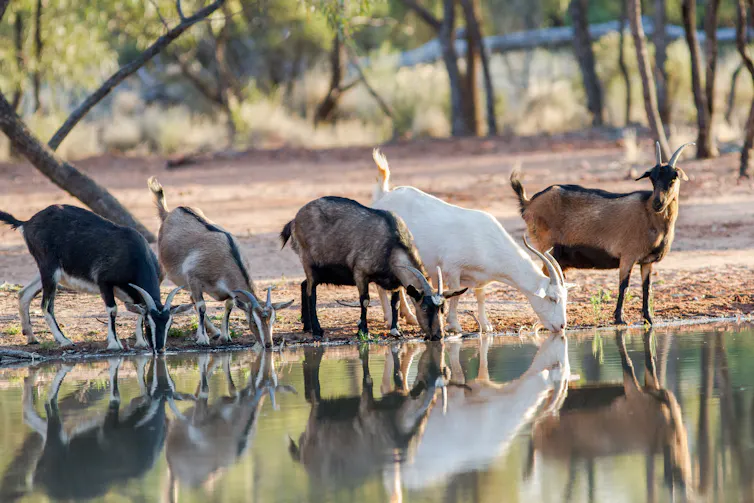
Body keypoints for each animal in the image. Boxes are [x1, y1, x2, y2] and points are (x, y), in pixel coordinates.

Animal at [0, 204, 190, 352]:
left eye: (170, 323)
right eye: (149, 323)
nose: (159, 348)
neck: (132, 253)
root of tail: (26, 223)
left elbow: (136, 308)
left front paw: (141, 342)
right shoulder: (104, 282)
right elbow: (113, 309)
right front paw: (114, 344)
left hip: (48, 273)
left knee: (24, 293)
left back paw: (31, 337)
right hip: (50, 271)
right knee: (46, 305)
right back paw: (64, 341)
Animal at [148, 178, 293, 348]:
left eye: (273, 320)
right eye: (254, 321)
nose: (268, 344)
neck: (225, 258)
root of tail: (168, 213)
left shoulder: (228, 291)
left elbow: (228, 305)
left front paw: (225, 336)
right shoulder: (194, 279)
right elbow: (202, 306)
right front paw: (203, 339)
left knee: (191, 299)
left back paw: (215, 332)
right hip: (163, 269)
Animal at [280, 196, 466, 340]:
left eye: (443, 309)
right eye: (425, 308)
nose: (438, 336)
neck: (392, 245)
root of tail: (294, 220)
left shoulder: (396, 281)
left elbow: (395, 303)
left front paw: (395, 330)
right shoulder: (360, 273)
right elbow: (365, 300)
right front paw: (363, 330)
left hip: (319, 271)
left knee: (304, 285)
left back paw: (307, 326)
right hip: (309, 262)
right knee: (311, 292)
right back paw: (317, 330)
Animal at [371, 150, 570, 334]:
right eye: (552, 298)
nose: (561, 326)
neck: (486, 241)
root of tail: (383, 196)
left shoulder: (481, 277)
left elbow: (481, 297)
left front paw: (485, 325)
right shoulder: (452, 268)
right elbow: (456, 295)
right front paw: (455, 325)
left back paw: (409, 317)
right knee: (381, 286)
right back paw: (389, 319)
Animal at [510, 142, 693, 325]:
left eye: (673, 178)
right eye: (652, 179)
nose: (658, 203)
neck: (648, 213)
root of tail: (528, 203)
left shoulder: (647, 262)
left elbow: (646, 288)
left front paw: (649, 319)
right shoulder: (627, 256)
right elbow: (624, 286)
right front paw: (619, 319)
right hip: (545, 248)